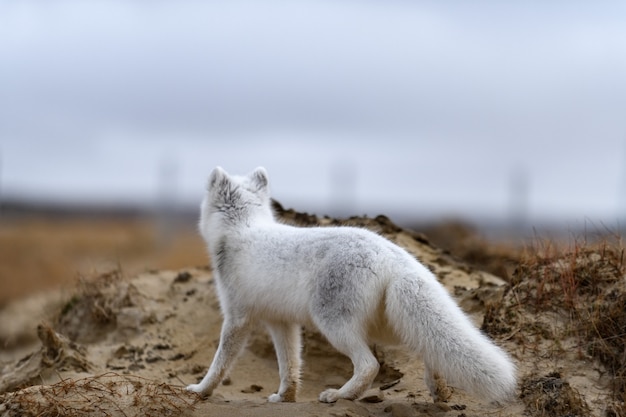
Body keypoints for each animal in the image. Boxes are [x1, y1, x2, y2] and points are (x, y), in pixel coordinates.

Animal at [186, 166, 516, 404]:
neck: (242, 227)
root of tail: (393, 255)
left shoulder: (237, 317)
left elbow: (220, 362)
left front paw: (201, 390)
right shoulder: (281, 322)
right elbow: (289, 364)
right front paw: (285, 397)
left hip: (334, 323)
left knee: (370, 364)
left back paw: (341, 395)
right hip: (389, 325)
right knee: (429, 348)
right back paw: (439, 392)